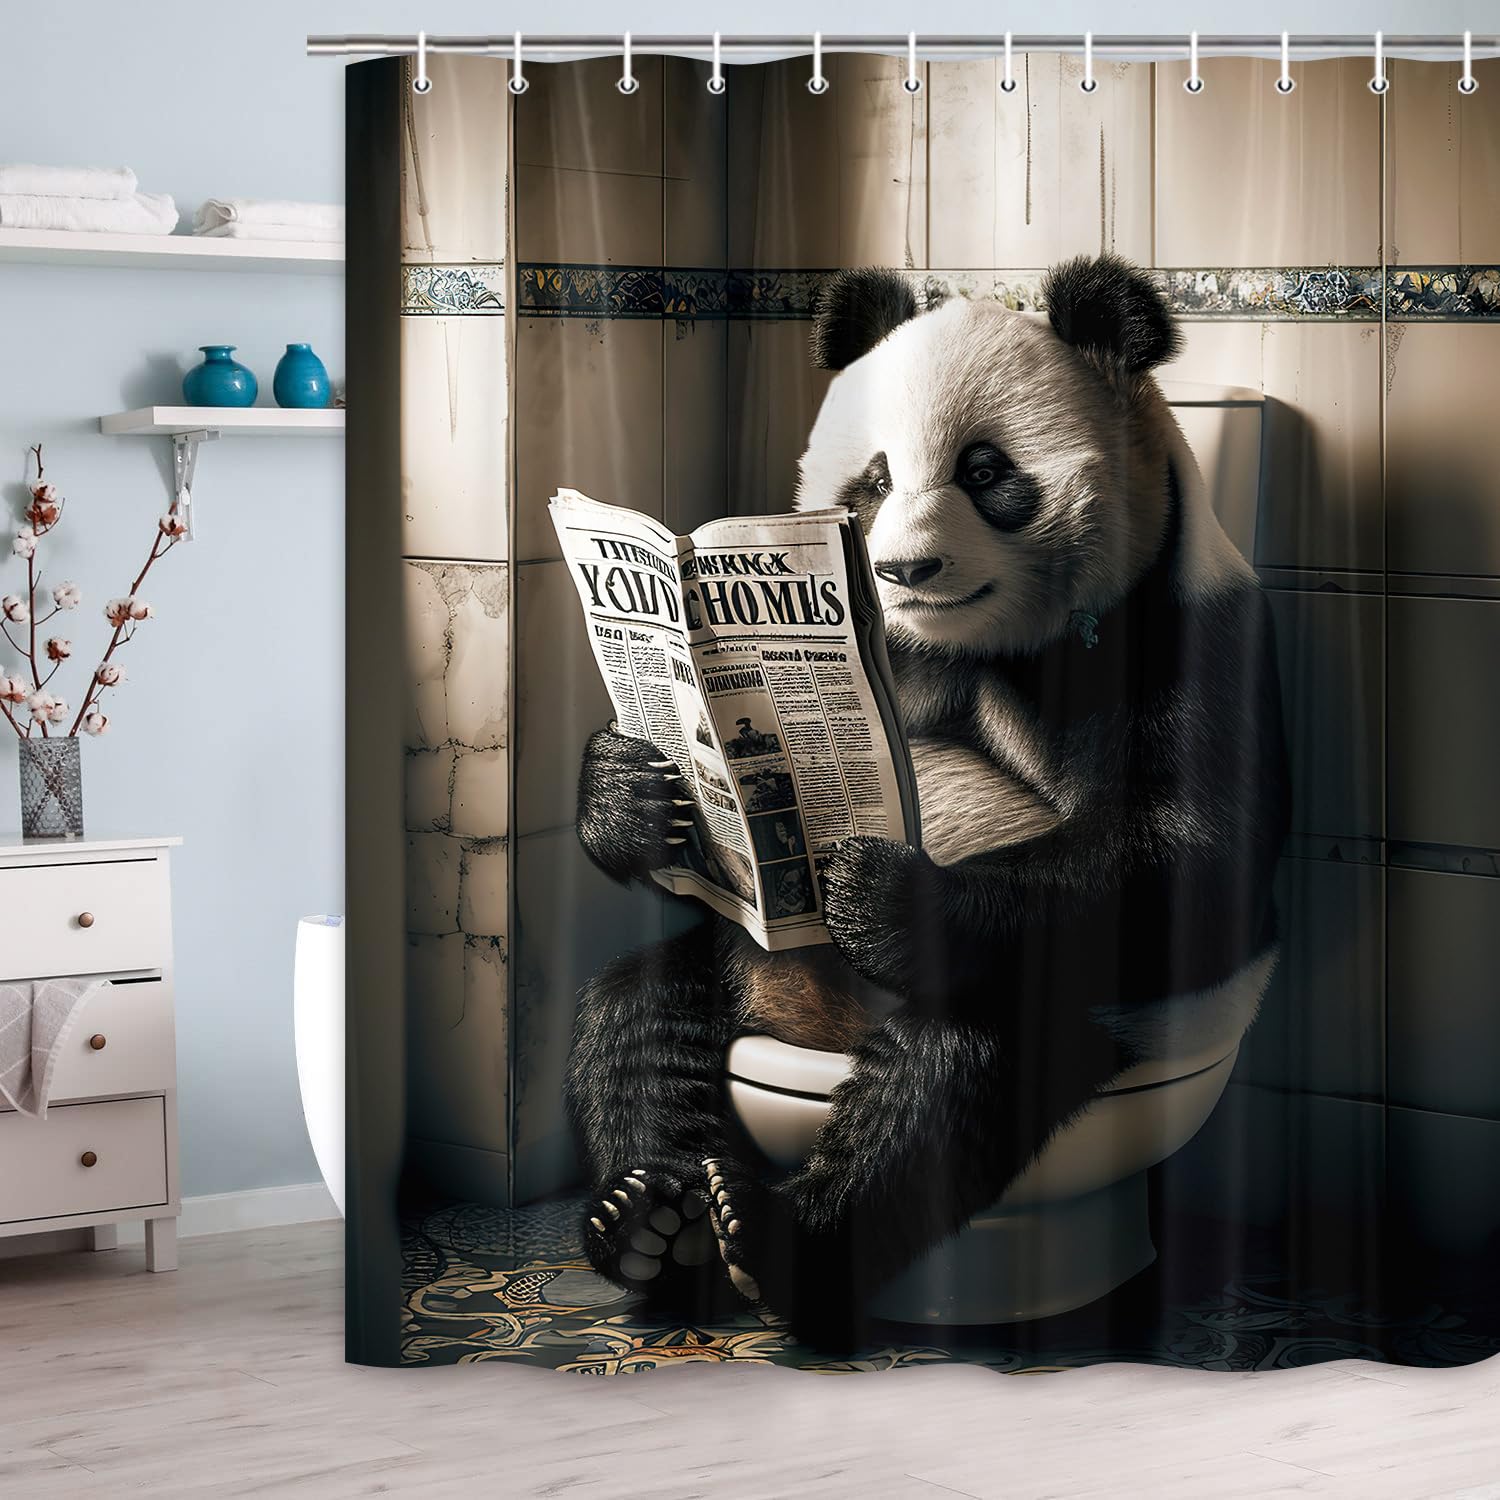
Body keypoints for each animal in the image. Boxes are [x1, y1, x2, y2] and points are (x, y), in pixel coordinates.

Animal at [564, 254, 1291, 1349]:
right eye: (874, 480)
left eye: (986, 473)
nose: (903, 569)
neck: (965, 643)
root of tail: (822, 1021)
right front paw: (634, 793)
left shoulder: (1183, 635)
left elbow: (1195, 856)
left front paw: (875, 890)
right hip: (741, 969)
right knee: (637, 1015)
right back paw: (649, 1216)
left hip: (1108, 1013)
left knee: (948, 1080)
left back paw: (782, 1242)